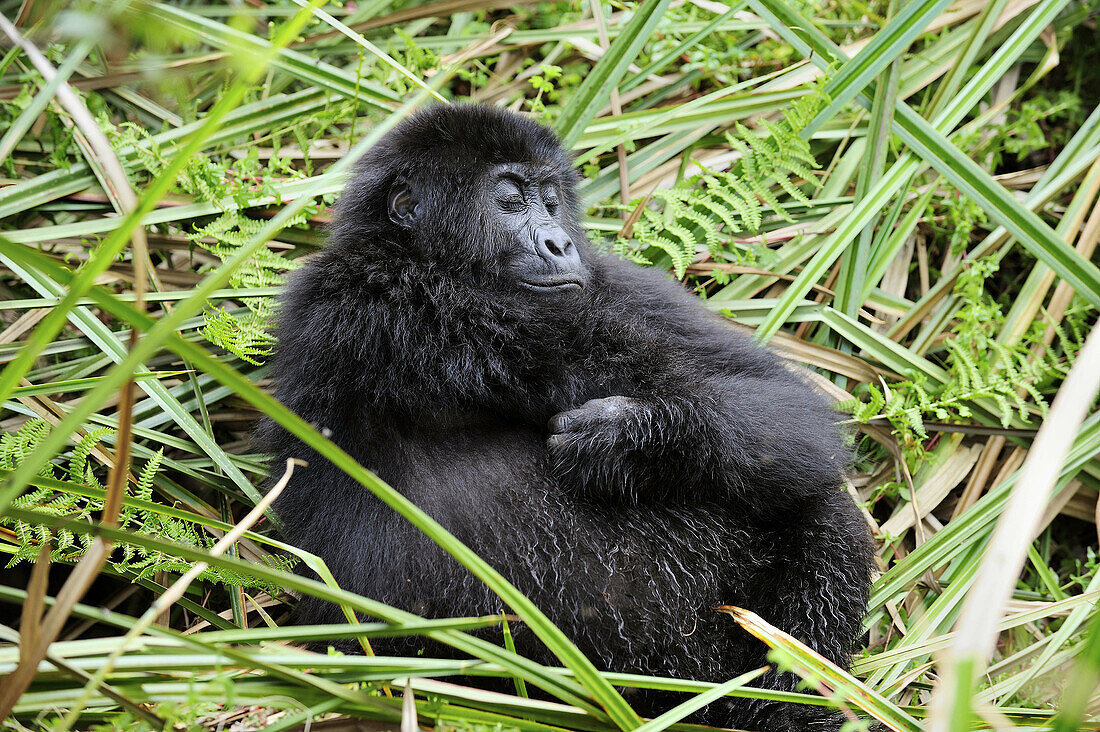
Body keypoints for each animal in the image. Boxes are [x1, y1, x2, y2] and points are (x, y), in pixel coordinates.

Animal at [259, 104, 875, 730]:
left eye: (551, 202)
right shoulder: (372, 295)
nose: (559, 243)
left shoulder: (618, 281)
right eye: (509, 200)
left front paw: (640, 443)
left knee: (819, 504)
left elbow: (784, 405)